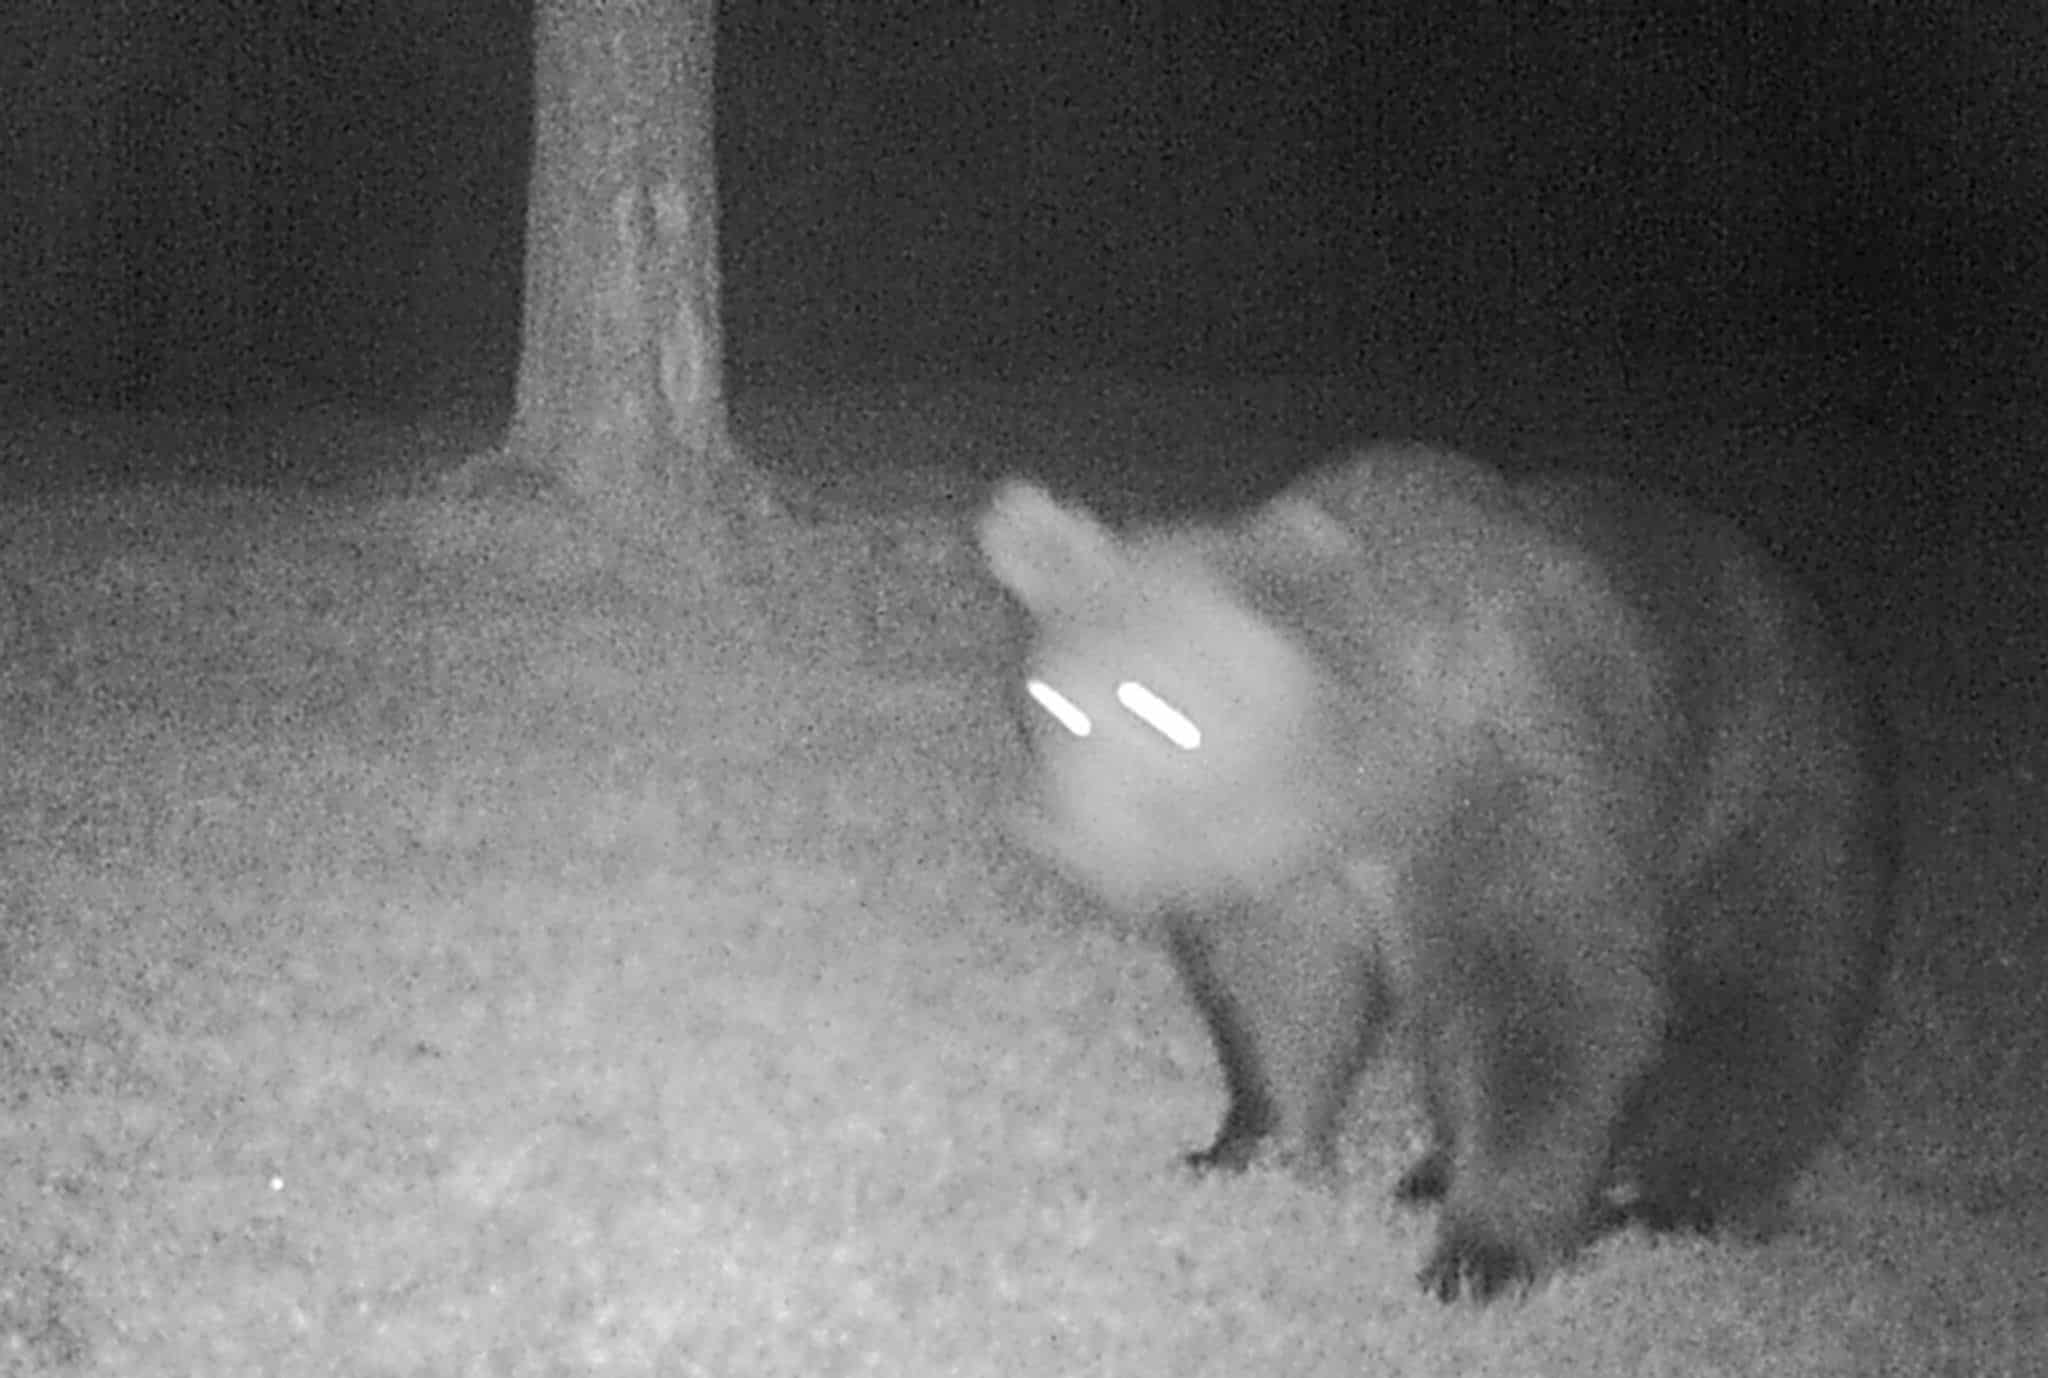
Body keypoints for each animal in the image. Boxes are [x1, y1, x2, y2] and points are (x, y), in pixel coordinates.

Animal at [978, 444, 1900, 1302]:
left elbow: (1552, 1004)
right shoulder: (1301, 871)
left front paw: (1486, 1255)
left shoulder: (1521, 796)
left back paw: (1679, 1198)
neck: (1365, 785)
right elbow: (1281, 988)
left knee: (1766, 1007)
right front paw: (1249, 1147)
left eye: (1159, 707)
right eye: (1053, 704)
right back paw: (1433, 1171)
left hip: (1772, 806)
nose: (1059, 836)